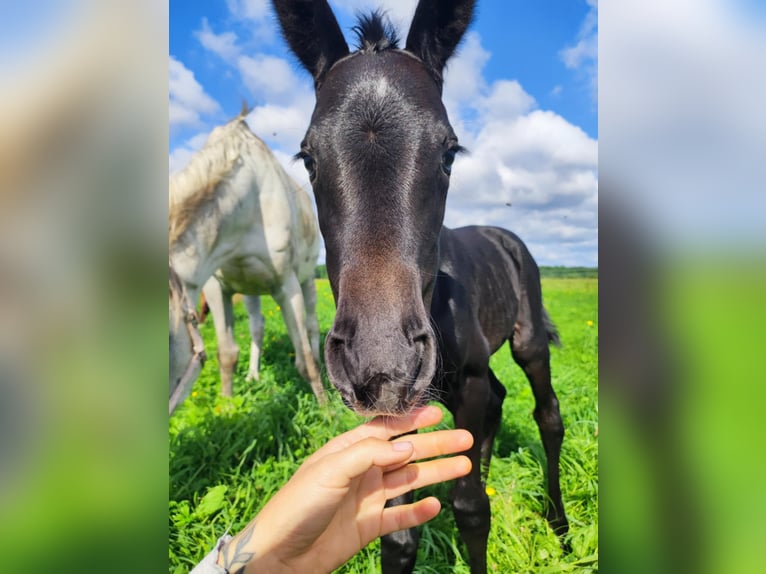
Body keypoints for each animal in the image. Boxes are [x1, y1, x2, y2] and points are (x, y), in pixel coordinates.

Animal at [169, 108, 325, 407]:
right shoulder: (216, 288)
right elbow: (227, 353)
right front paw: (228, 406)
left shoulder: (286, 285)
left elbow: (305, 360)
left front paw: (326, 408)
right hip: (250, 289)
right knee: (257, 327)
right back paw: (253, 375)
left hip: (308, 280)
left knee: (311, 326)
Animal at [272, 1, 569, 571]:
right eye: (308, 157)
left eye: (450, 152)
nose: (379, 365)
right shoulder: (404, 410)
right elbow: (398, 529)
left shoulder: (465, 382)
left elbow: (471, 510)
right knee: (498, 404)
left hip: (527, 341)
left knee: (547, 415)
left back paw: (561, 527)